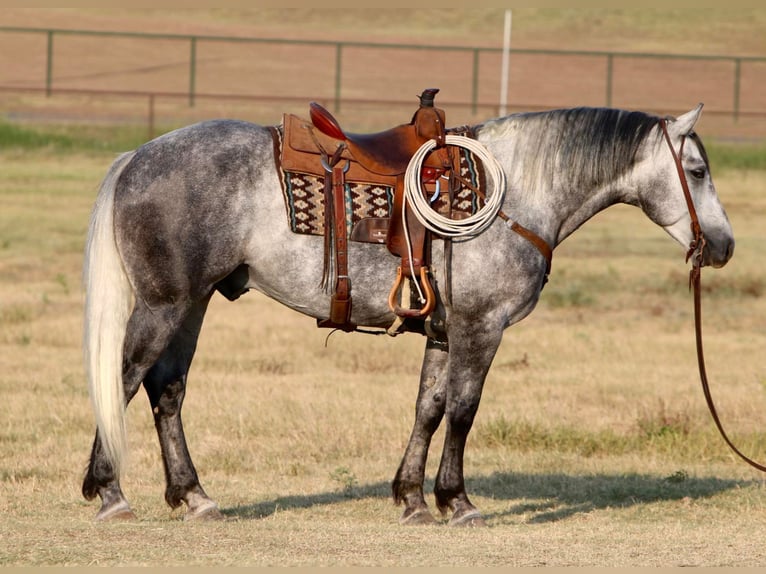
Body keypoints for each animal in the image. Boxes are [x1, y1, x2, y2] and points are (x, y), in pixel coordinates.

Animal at [81, 103, 736, 528]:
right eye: (697, 171)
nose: (725, 246)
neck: (515, 191)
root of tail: (137, 156)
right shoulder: (480, 327)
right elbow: (464, 411)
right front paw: (457, 501)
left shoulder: (444, 333)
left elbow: (429, 407)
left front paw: (413, 498)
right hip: (165, 304)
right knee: (125, 378)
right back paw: (111, 493)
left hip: (192, 304)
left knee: (167, 391)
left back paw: (194, 496)